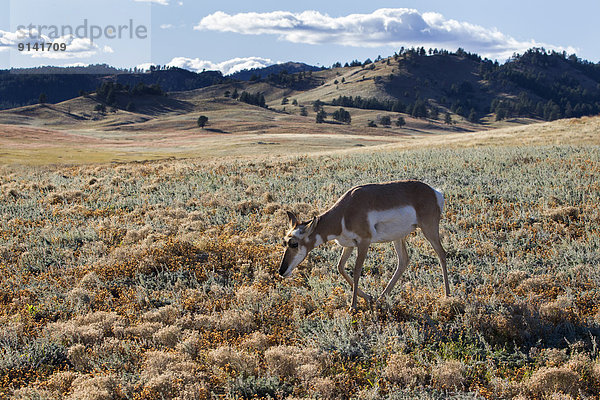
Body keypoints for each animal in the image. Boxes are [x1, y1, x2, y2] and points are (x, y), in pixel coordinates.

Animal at [278, 180, 448, 310]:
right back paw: (381, 297)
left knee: (441, 253)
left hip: (429, 229)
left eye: (294, 243)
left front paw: (353, 306)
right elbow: (340, 267)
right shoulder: (349, 245)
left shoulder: (364, 242)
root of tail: (435, 192)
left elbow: (356, 270)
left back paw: (448, 295)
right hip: (398, 237)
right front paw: (368, 297)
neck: (344, 212)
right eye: (284, 242)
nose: (281, 271)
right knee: (404, 261)